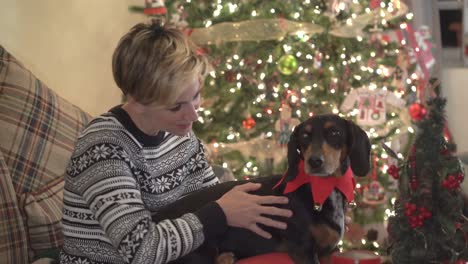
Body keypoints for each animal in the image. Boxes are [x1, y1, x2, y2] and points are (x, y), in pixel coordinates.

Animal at [155, 114, 372, 264]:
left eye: (334, 133)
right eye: (304, 135)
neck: (322, 187)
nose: (315, 162)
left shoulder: (327, 252)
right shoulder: (302, 249)